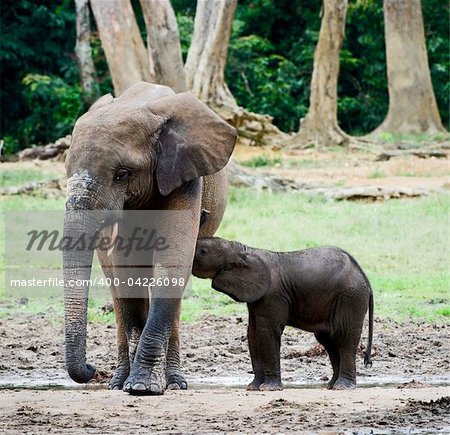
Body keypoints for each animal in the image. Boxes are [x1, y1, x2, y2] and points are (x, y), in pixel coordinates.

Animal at [65, 82, 239, 396]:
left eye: (122, 175)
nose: (90, 369)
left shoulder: (185, 174)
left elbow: (173, 261)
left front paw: (143, 387)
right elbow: (126, 270)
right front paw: (133, 384)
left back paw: (175, 383)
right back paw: (118, 382)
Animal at [192, 238, 372, 392]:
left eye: (203, 251)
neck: (244, 250)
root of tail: (365, 278)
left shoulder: (273, 294)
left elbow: (268, 332)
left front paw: (268, 388)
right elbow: (253, 334)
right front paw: (253, 388)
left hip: (351, 297)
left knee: (343, 337)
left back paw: (342, 387)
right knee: (328, 340)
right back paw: (331, 385)